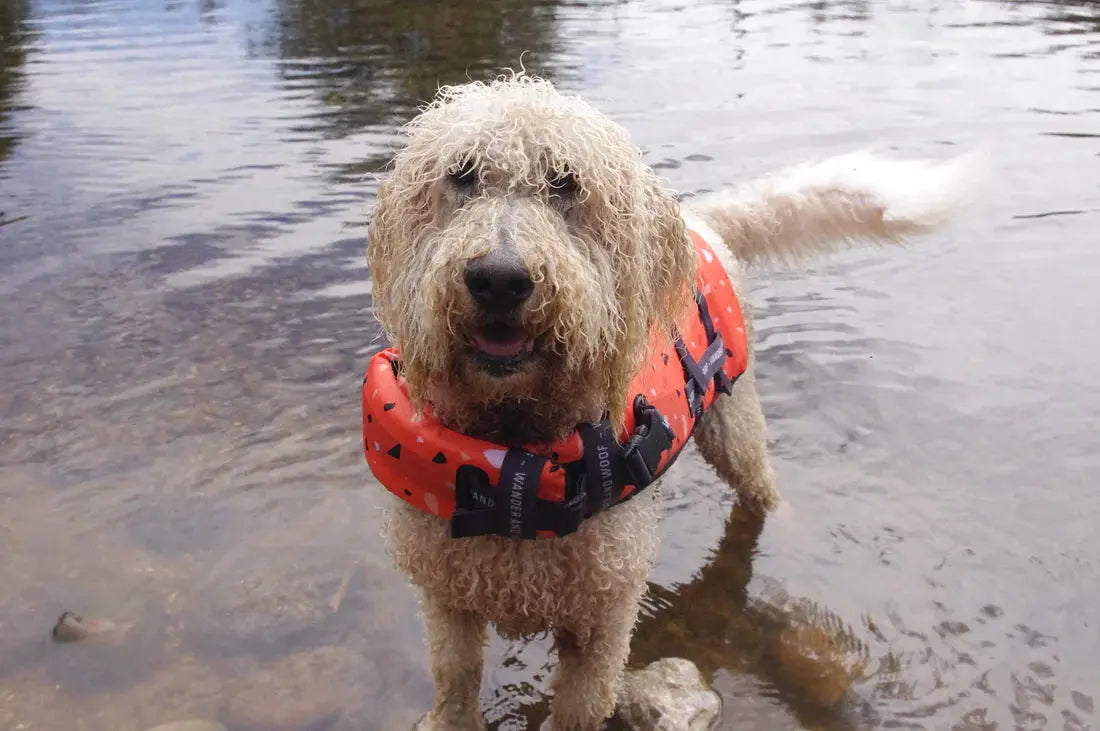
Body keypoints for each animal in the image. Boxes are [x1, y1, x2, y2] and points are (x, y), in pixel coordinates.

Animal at [363, 71, 972, 725]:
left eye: (566, 183)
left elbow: (580, 706)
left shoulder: (603, 621)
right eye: (462, 174)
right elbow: (456, 681)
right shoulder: (446, 599)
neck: (511, 463)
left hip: (734, 425)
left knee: (762, 491)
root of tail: (700, 220)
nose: (499, 278)